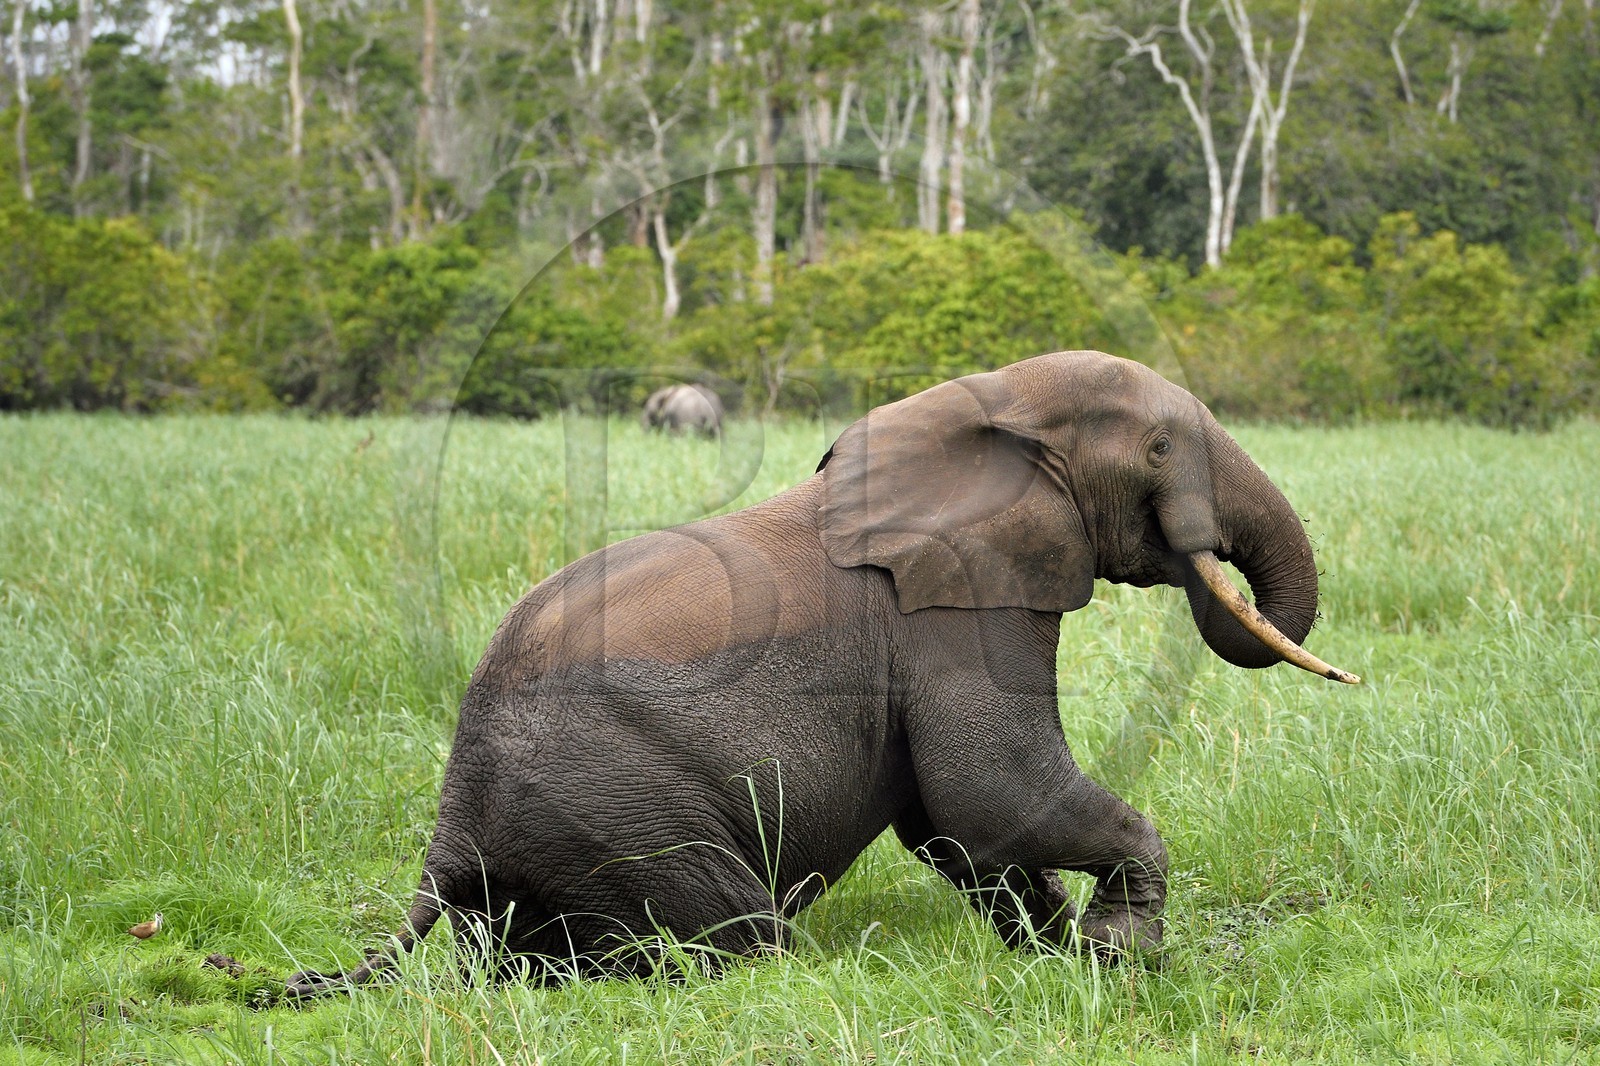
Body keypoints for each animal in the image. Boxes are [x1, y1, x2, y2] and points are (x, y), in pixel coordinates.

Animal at [287, 350, 1357, 999]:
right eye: (1161, 446)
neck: (993, 401)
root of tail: (449, 828)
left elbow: (957, 824)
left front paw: (1064, 960)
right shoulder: (955, 611)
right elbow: (989, 787)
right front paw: (1120, 954)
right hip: (620, 809)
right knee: (745, 938)